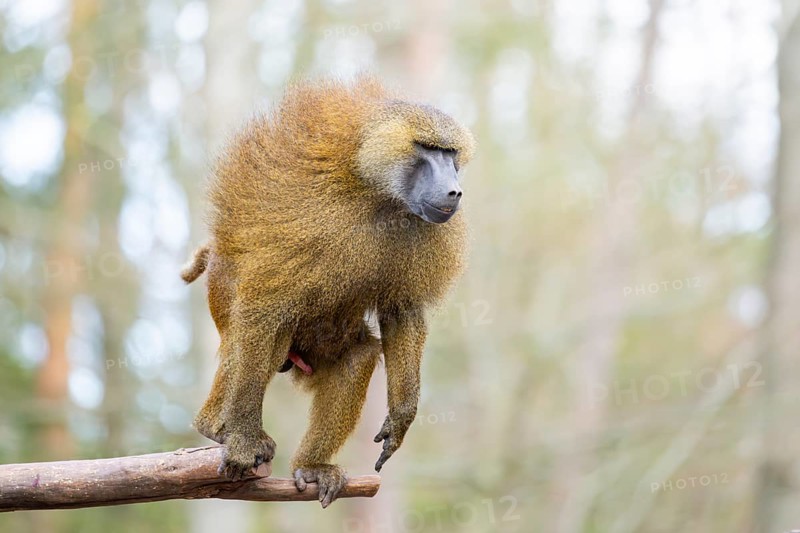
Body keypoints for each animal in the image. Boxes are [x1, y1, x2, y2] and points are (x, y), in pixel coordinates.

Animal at [182, 77, 475, 508]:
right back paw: (216, 426)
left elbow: (401, 311)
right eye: (428, 149)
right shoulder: (308, 213)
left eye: (450, 153)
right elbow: (264, 305)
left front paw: (400, 419)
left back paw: (311, 467)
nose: (454, 191)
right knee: (265, 331)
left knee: (359, 354)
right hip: (222, 289)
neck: (379, 194)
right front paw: (241, 441)